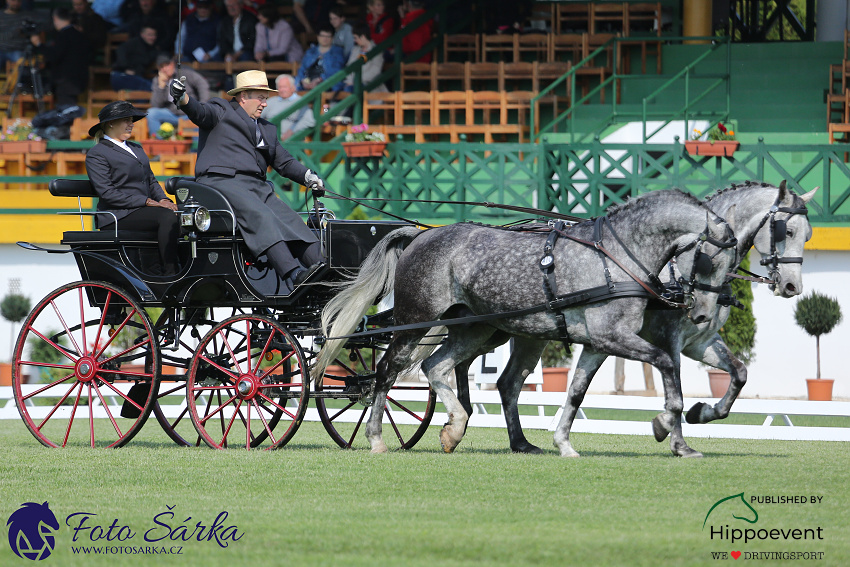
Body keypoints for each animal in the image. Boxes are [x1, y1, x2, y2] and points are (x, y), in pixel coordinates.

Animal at [314, 191, 740, 458]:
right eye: (709, 260)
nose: (702, 314)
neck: (619, 255)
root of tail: (421, 235)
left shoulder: (600, 342)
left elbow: (577, 392)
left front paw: (565, 444)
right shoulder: (613, 337)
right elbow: (668, 368)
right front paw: (667, 428)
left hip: (474, 329)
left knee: (438, 367)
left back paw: (455, 428)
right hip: (417, 322)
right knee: (386, 372)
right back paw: (376, 439)